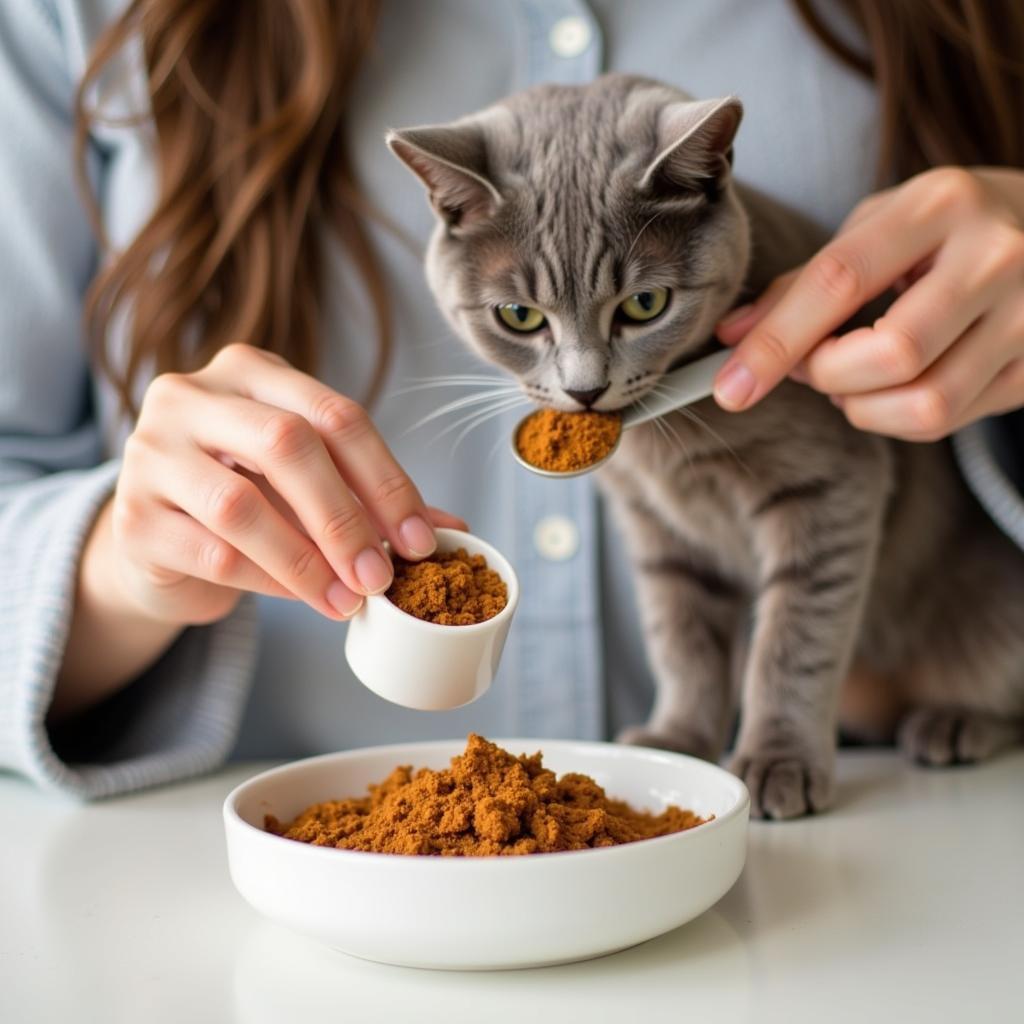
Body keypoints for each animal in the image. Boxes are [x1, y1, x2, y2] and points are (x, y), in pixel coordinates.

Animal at [385, 74, 1024, 815]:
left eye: (645, 305)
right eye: (518, 316)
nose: (585, 390)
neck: (665, 447)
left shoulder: (832, 484)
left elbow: (793, 637)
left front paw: (779, 760)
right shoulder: (654, 525)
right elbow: (682, 637)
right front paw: (679, 740)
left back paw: (954, 721)